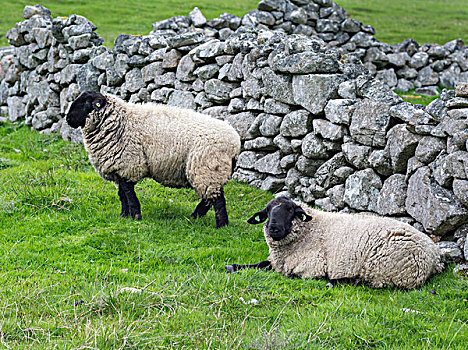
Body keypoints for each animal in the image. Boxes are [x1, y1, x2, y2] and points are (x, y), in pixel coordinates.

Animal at [65, 90, 241, 228]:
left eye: (85, 103)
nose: (67, 119)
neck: (119, 121)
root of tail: (235, 143)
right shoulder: (119, 168)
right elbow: (122, 195)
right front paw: (124, 216)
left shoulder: (128, 165)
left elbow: (129, 194)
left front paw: (135, 216)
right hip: (209, 172)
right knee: (208, 199)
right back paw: (194, 217)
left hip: (208, 168)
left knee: (217, 200)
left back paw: (221, 226)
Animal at [229, 197, 444, 290]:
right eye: (267, 211)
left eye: (290, 210)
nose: (273, 228)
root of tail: (434, 255)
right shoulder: (276, 262)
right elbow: (261, 264)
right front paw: (234, 266)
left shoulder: (311, 267)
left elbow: (288, 274)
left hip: (384, 268)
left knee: (367, 282)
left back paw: (333, 282)